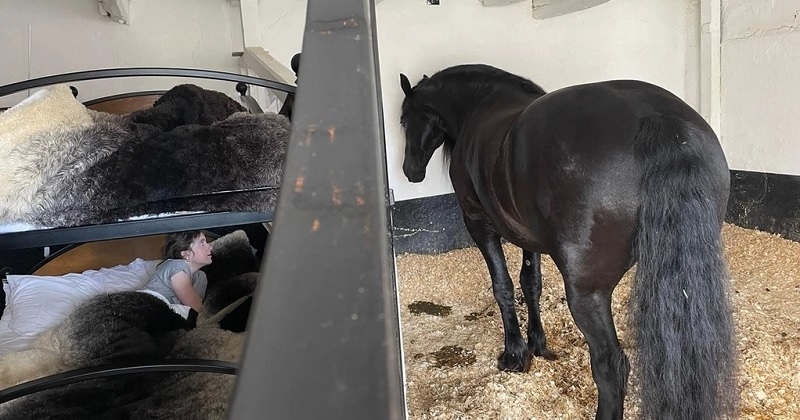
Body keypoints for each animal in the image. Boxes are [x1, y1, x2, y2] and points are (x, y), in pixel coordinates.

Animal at [400, 64, 736, 418]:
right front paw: (538, 344)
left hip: (587, 294)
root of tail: (658, 120)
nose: (410, 171)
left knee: (611, 366)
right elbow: (530, 283)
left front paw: (515, 354)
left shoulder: (479, 226)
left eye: (404, 120)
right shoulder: (527, 236)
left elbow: (503, 287)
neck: (478, 106)